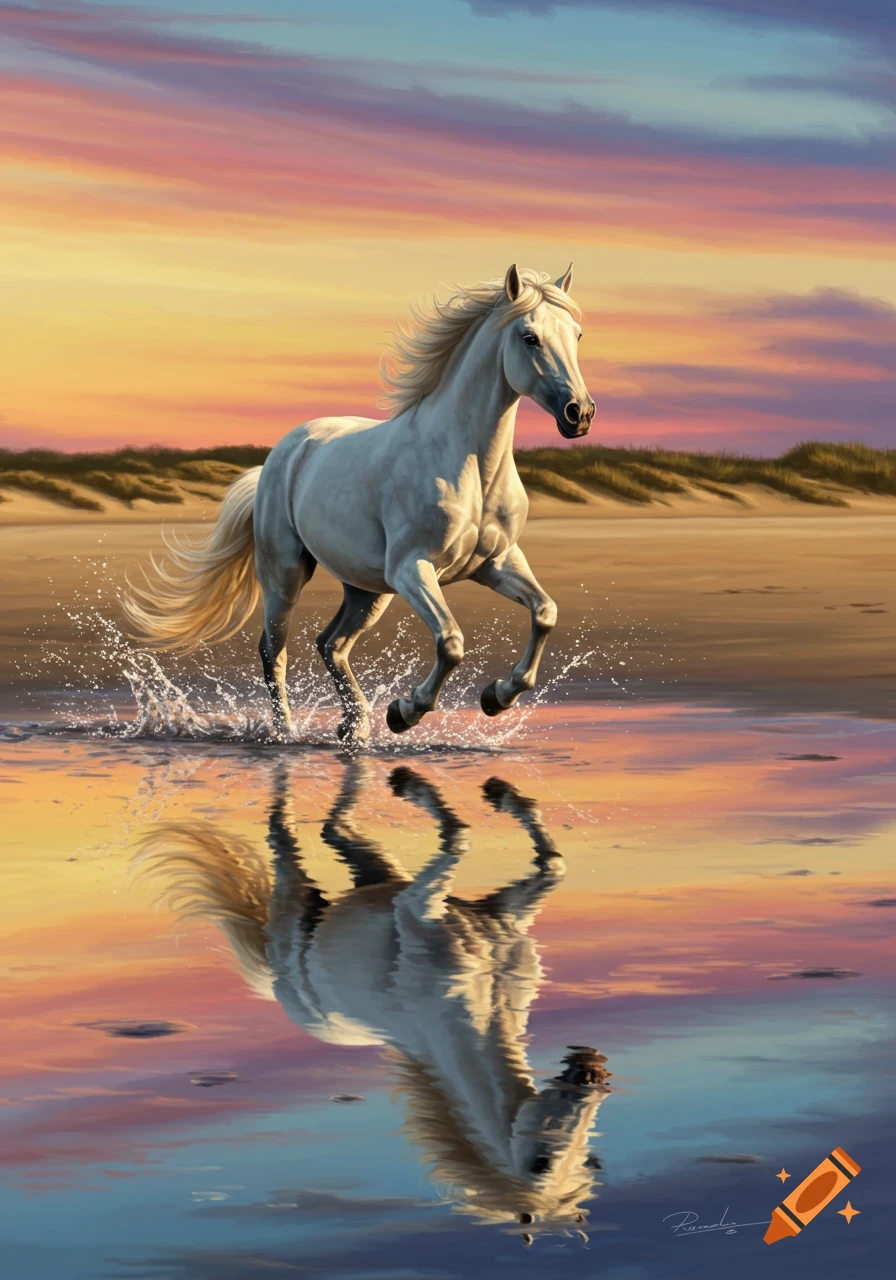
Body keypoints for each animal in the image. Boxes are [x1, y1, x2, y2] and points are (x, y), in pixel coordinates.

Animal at [123, 265, 594, 742]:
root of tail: (284, 452)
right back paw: (287, 732)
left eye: (576, 334)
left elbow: (545, 613)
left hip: (367, 589)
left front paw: (496, 696)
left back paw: (355, 726)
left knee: (330, 643)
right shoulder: (412, 568)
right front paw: (406, 711)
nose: (580, 413)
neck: (470, 467)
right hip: (286, 575)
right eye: (529, 337)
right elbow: (451, 642)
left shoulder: (496, 563)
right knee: (274, 650)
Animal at [136, 762, 611, 1234]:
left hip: (377, 872)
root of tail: (276, 984)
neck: (478, 998)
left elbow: (550, 863)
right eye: (541, 1163)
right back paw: (374, 779)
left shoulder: (497, 910)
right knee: (283, 831)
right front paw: (448, 792)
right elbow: (463, 836)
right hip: (297, 898)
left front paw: (497, 793)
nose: (592, 1070)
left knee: (334, 828)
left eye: (588, 1158)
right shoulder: (416, 904)